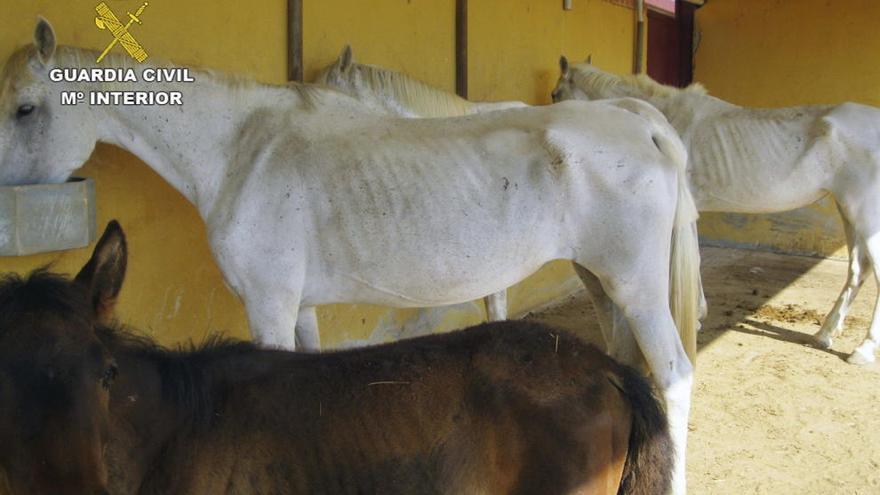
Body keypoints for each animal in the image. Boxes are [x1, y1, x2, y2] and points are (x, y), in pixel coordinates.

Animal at [552, 56, 880, 366]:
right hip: (848, 212)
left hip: (864, 215)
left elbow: (690, 260)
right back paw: (824, 334)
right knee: (858, 270)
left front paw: (694, 316)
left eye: (555, 94)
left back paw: (863, 350)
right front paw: (698, 314)